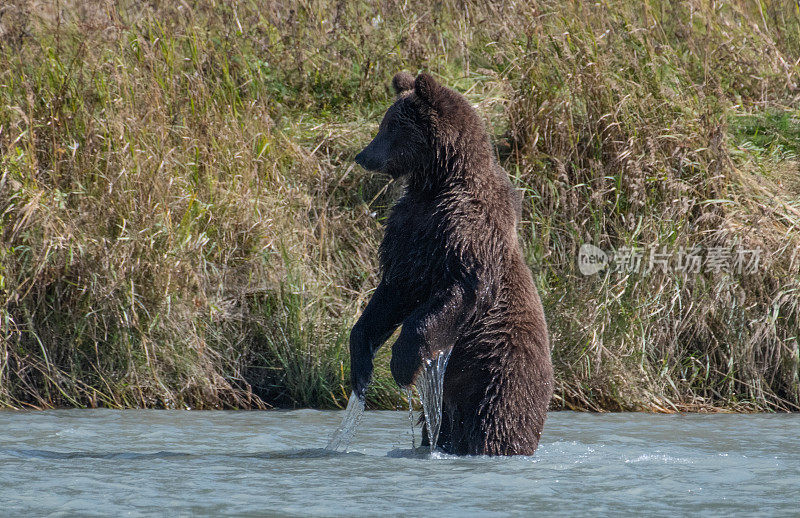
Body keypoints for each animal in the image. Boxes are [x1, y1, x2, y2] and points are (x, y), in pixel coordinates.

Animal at [354, 72, 552, 456]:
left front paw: (402, 362)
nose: (363, 155)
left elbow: (463, 287)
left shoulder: (466, 228)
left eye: (391, 127)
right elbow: (393, 292)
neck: (438, 181)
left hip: (496, 376)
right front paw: (361, 361)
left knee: (497, 422)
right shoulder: (409, 231)